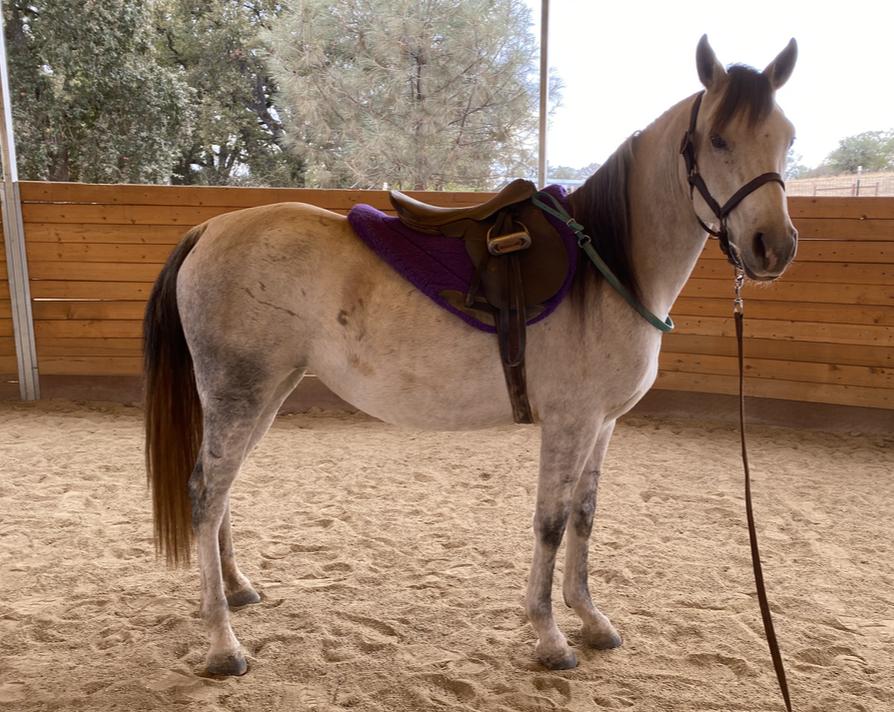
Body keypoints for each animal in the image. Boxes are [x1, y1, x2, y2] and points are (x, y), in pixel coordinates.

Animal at [144, 35, 798, 676]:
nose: (774, 246)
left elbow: (584, 516)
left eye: (787, 136)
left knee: (222, 491)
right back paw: (223, 645)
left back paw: (236, 591)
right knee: (205, 494)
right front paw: (549, 636)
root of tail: (209, 230)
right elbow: (551, 522)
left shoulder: (603, 424)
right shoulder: (571, 422)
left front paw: (590, 619)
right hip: (241, 393)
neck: (609, 265)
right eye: (718, 139)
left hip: (267, 394)